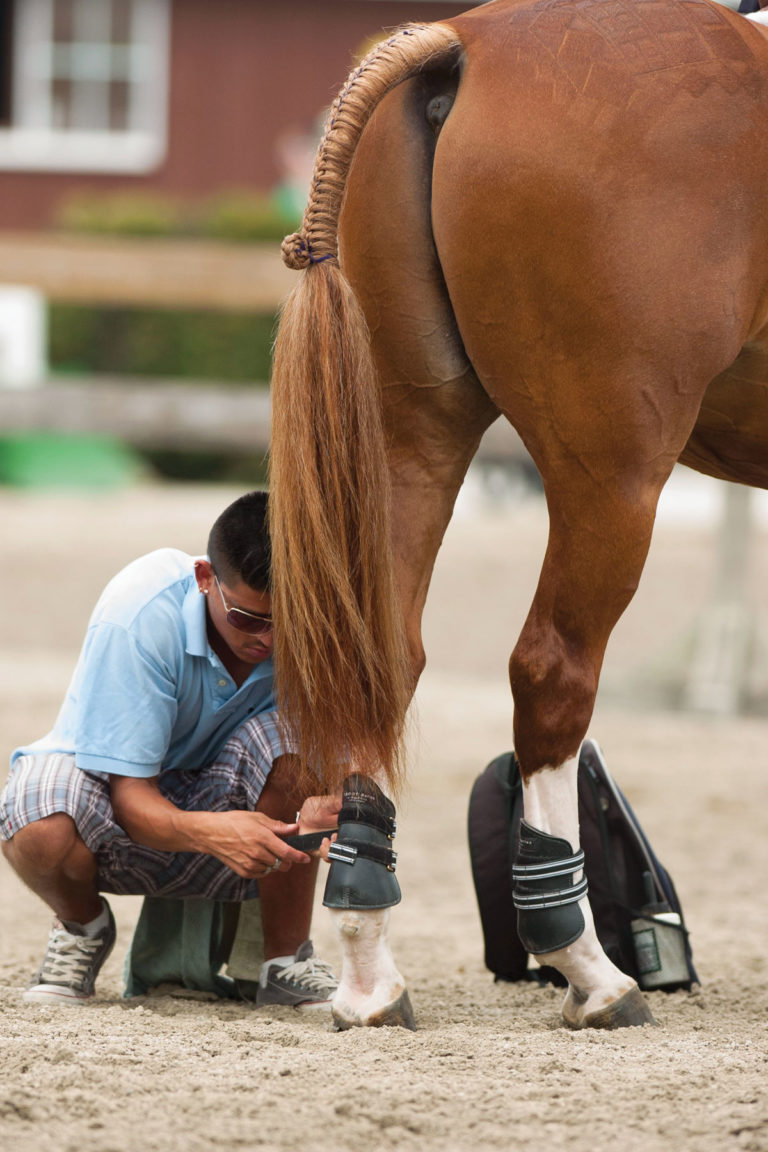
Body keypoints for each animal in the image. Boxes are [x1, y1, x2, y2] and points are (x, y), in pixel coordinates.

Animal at [269, 0, 768, 1031]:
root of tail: (468, 38)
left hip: (413, 435)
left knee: (388, 659)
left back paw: (370, 975)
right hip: (612, 474)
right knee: (550, 674)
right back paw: (588, 967)